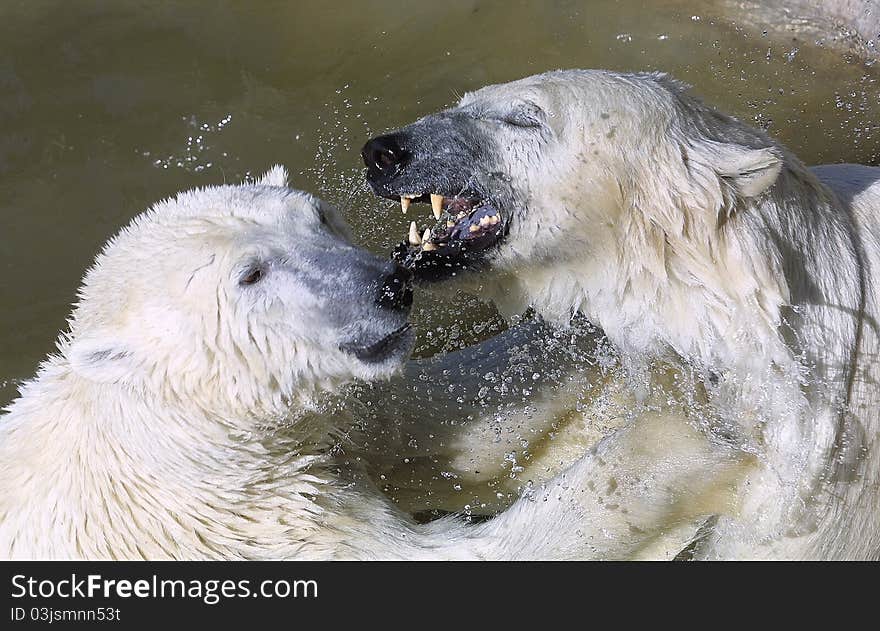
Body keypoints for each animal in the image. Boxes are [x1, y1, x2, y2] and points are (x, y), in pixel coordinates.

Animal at [0, 167, 740, 556]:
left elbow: (437, 423)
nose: (388, 284)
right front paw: (681, 432)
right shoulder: (265, 531)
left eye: (319, 217)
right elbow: (467, 548)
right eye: (251, 274)